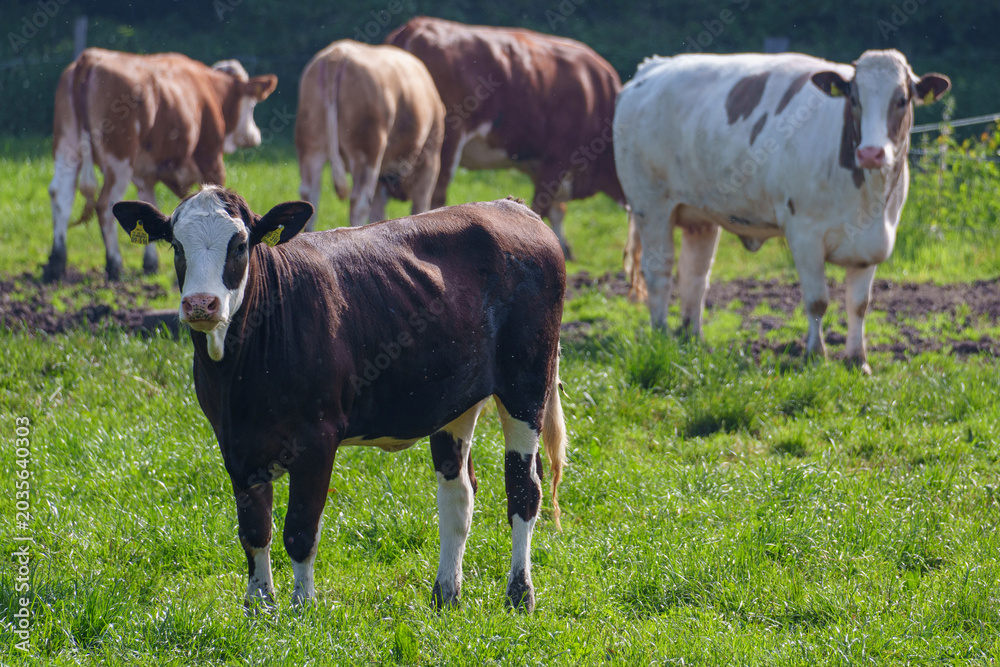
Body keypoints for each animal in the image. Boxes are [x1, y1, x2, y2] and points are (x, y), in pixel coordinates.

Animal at [46, 48, 277, 282]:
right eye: (252, 102)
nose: (254, 136)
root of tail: (91, 56)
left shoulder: (144, 175)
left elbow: (147, 210)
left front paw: (150, 263)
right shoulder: (211, 159)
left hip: (66, 147)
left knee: (61, 196)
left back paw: (56, 263)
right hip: (119, 159)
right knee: (105, 204)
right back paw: (114, 265)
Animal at [111, 186, 567, 612]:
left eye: (239, 245)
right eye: (176, 244)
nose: (201, 304)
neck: (239, 374)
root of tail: (509, 206)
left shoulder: (317, 437)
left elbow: (300, 529)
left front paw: (302, 607)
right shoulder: (233, 443)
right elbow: (254, 529)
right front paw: (259, 606)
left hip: (527, 383)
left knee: (523, 490)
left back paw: (519, 594)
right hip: (455, 398)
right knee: (458, 494)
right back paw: (445, 595)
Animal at [295, 40, 445, 230]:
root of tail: (338, 53)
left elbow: (377, 210)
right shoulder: (430, 161)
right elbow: (419, 207)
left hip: (311, 147)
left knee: (310, 195)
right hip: (368, 152)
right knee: (359, 201)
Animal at [387, 16, 625, 259]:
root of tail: (417, 25)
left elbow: (557, 209)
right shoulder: (559, 158)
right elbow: (542, 205)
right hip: (446, 144)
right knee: (435, 195)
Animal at [613, 49, 949, 373]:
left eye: (902, 100)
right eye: (854, 99)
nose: (871, 152)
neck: (869, 193)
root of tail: (653, 67)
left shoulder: (871, 241)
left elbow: (859, 304)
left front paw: (858, 360)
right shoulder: (805, 236)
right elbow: (817, 301)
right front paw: (815, 356)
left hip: (700, 217)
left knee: (694, 275)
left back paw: (692, 339)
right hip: (651, 206)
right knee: (659, 273)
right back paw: (660, 335)